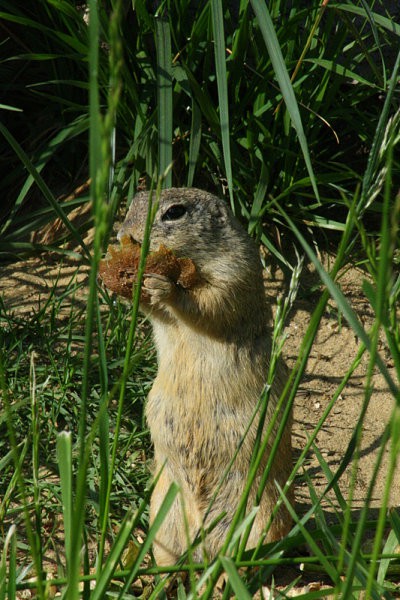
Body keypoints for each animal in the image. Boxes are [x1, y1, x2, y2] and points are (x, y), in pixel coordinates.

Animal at [117, 189, 292, 568]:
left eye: (174, 212)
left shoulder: (235, 271)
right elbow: (158, 313)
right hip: (162, 515)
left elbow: (212, 302)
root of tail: (207, 548)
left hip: (263, 514)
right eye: (133, 201)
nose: (126, 234)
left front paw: (164, 286)